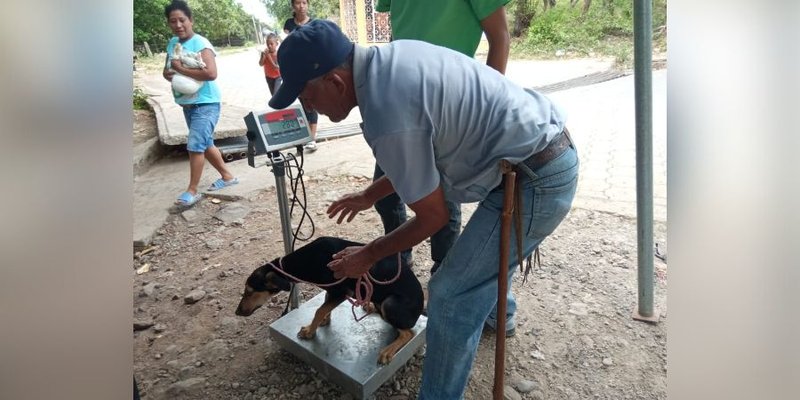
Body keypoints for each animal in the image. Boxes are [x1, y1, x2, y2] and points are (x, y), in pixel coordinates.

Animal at [234, 236, 424, 364]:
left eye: (249, 291)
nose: (237, 312)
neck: (306, 260)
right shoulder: (332, 291)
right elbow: (324, 305)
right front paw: (323, 321)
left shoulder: (341, 291)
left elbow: (320, 309)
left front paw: (310, 331)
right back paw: (368, 306)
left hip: (389, 303)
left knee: (409, 332)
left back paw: (388, 351)